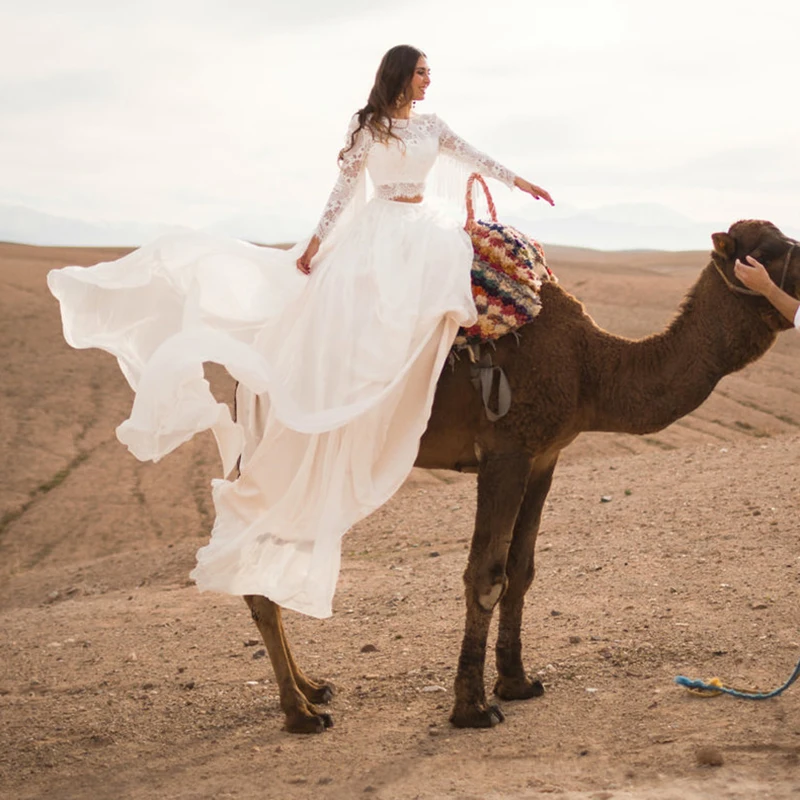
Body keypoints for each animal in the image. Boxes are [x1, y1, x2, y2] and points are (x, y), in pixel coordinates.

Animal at [244, 219, 800, 732]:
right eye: (773, 251)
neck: (590, 365)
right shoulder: (505, 451)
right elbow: (486, 575)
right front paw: (472, 708)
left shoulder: (544, 456)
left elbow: (523, 570)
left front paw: (516, 682)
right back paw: (300, 713)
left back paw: (312, 688)